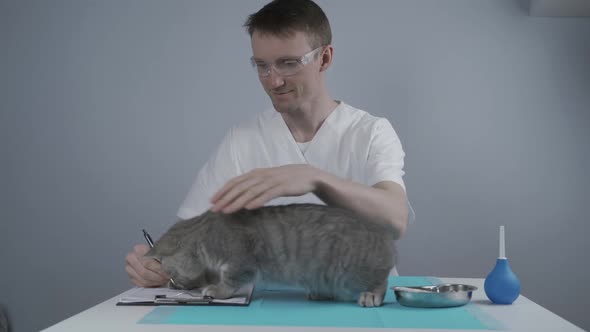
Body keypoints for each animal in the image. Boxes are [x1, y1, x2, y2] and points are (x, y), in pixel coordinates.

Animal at [146, 202, 398, 306]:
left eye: (171, 274)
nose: (172, 286)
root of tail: (382, 233)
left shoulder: (241, 259)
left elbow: (230, 280)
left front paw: (216, 290)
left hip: (350, 271)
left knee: (382, 281)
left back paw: (371, 295)